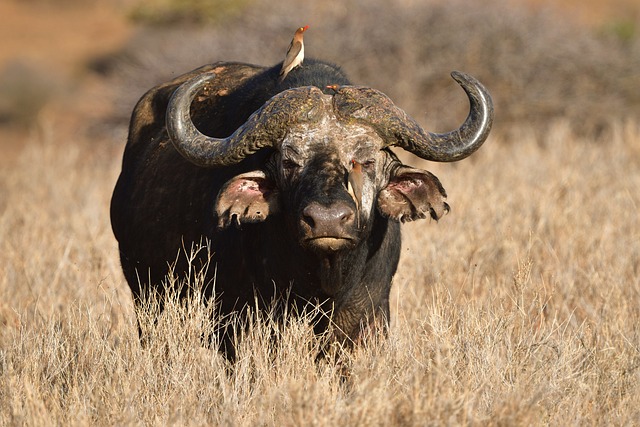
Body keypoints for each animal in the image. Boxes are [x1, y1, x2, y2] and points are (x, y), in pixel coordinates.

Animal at [110, 57, 492, 358]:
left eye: (367, 161)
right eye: (290, 162)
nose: (327, 221)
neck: (325, 281)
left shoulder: (367, 315)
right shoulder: (237, 319)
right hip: (148, 299)